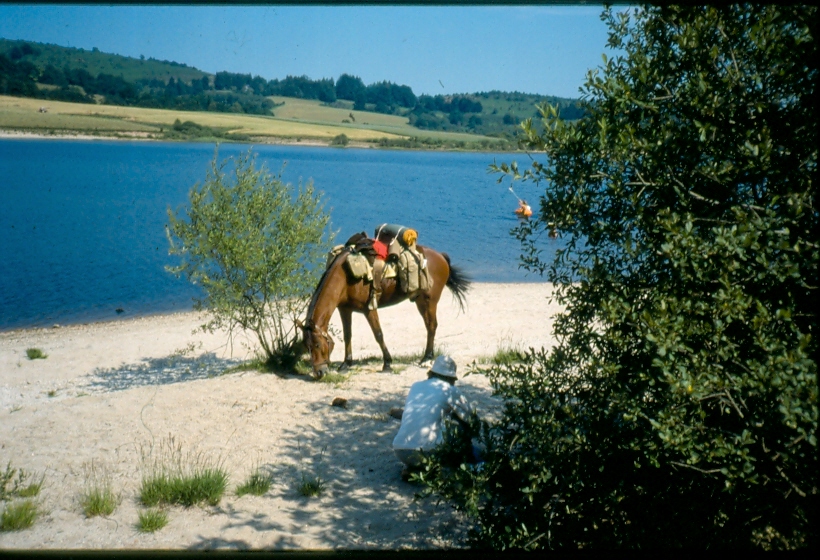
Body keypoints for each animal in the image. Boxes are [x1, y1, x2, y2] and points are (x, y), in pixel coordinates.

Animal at [302, 243, 470, 378]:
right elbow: (348, 335)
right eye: (307, 346)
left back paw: (426, 359)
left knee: (431, 326)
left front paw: (387, 363)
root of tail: (441, 256)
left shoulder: (369, 309)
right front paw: (346, 364)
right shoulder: (344, 309)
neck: (345, 276)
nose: (319, 372)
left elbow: (378, 334)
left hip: (428, 301)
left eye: (317, 345)